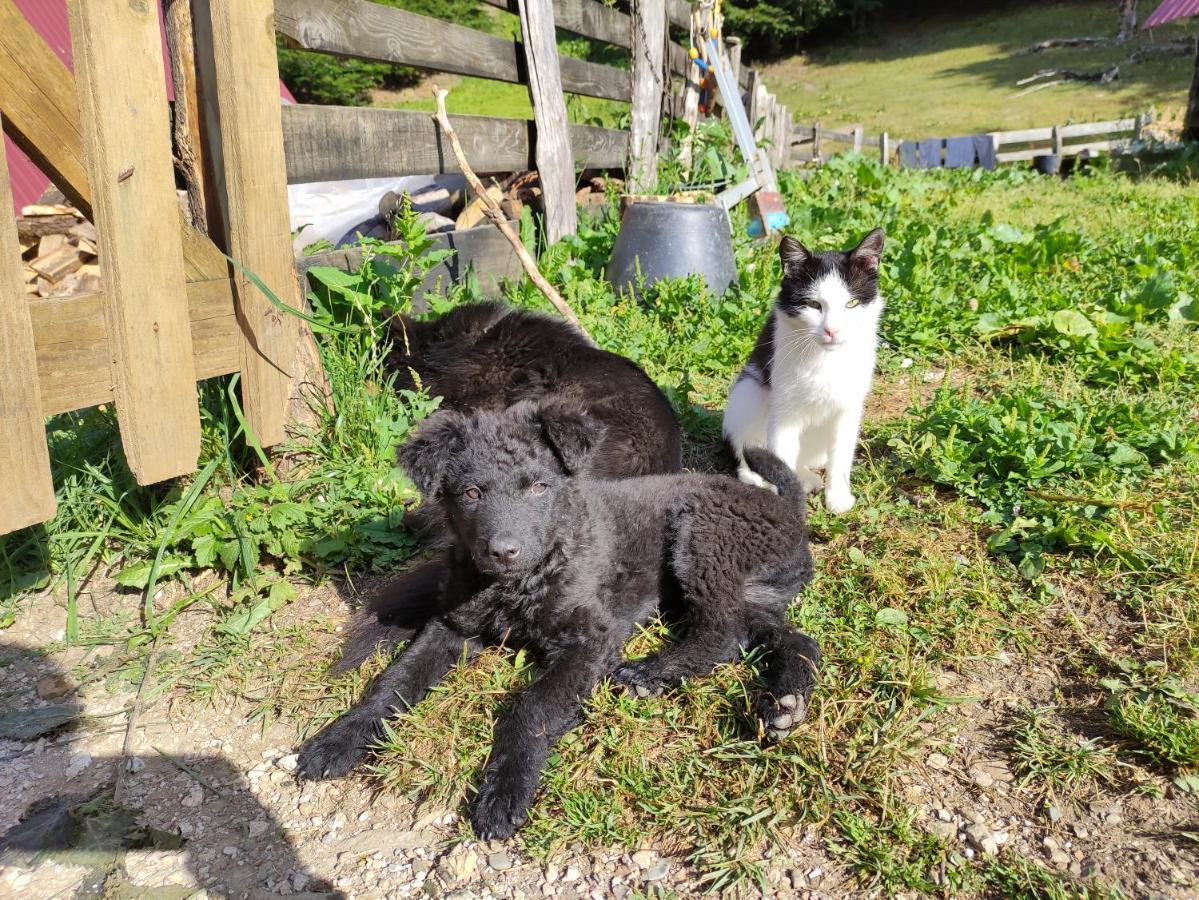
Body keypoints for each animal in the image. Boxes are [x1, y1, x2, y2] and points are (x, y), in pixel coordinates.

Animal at [302, 400, 824, 838]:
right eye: (471, 493)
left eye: (539, 486)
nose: (504, 551)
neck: (521, 583)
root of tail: (787, 507)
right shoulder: (451, 626)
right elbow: (394, 682)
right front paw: (340, 739)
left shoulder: (592, 640)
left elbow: (531, 707)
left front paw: (505, 791)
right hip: (752, 590)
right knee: (793, 639)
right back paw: (786, 703)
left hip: (700, 535)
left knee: (723, 631)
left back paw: (651, 674)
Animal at [719, 228, 882, 512]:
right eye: (814, 305)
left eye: (851, 303)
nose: (832, 330)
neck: (826, 359)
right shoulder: (783, 410)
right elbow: (780, 457)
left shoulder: (849, 409)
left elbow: (841, 456)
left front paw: (838, 497)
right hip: (747, 392)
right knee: (744, 450)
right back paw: (759, 478)